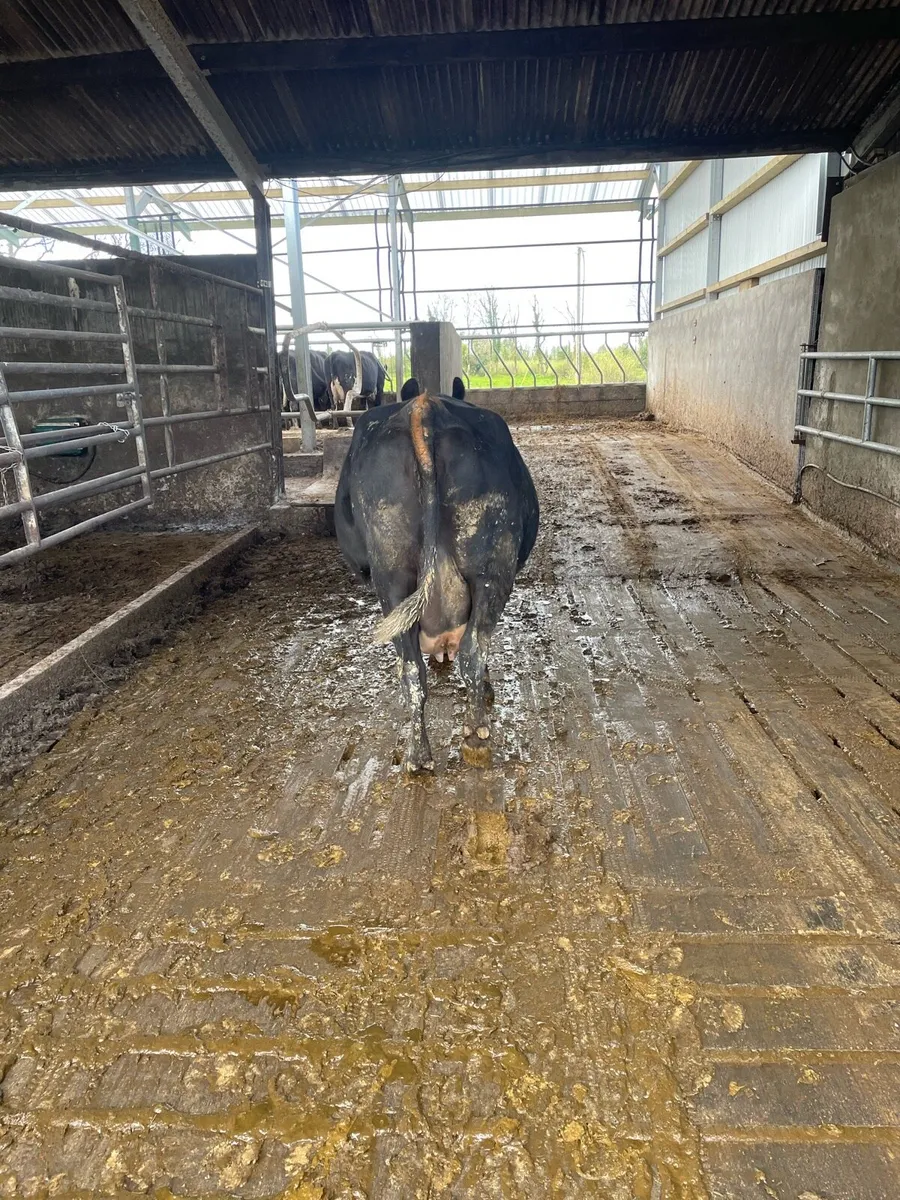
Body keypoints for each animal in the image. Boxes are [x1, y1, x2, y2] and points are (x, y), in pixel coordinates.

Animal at [335, 389, 539, 773]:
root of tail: (425, 406)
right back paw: (476, 736)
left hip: (393, 582)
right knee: (472, 651)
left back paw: (418, 756)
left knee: (412, 671)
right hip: (492, 569)